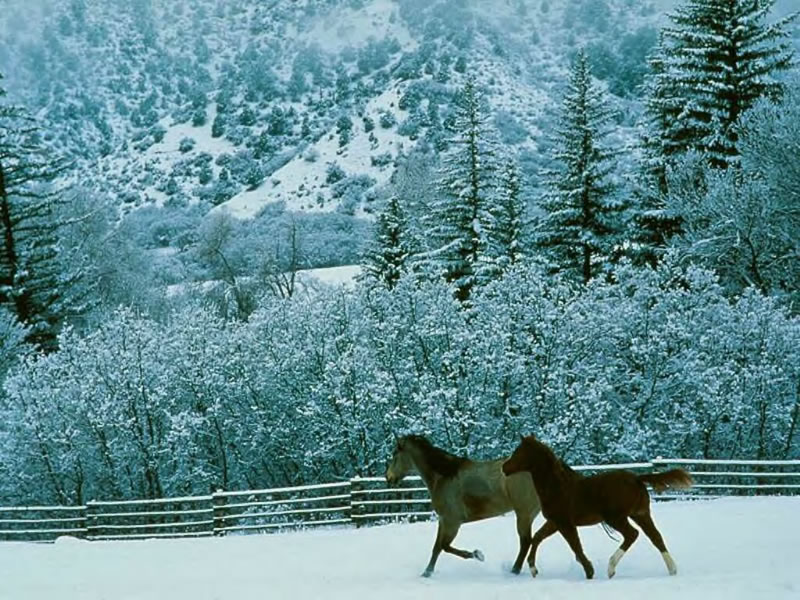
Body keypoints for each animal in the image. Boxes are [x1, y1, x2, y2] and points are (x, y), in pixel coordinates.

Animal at [384, 436, 540, 576]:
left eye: (395, 454)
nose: (388, 477)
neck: (443, 476)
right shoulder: (443, 520)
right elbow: (436, 548)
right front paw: (427, 573)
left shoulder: (453, 521)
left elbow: (444, 546)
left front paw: (477, 554)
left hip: (524, 514)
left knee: (526, 541)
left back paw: (514, 571)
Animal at [504, 438, 692, 580]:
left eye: (519, 452)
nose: (504, 467)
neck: (557, 487)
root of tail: (636, 479)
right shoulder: (554, 522)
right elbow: (537, 538)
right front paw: (533, 569)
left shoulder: (564, 523)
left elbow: (575, 545)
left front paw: (589, 571)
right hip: (641, 514)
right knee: (656, 537)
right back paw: (672, 569)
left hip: (616, 518)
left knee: (632, 534)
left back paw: (611, 568)